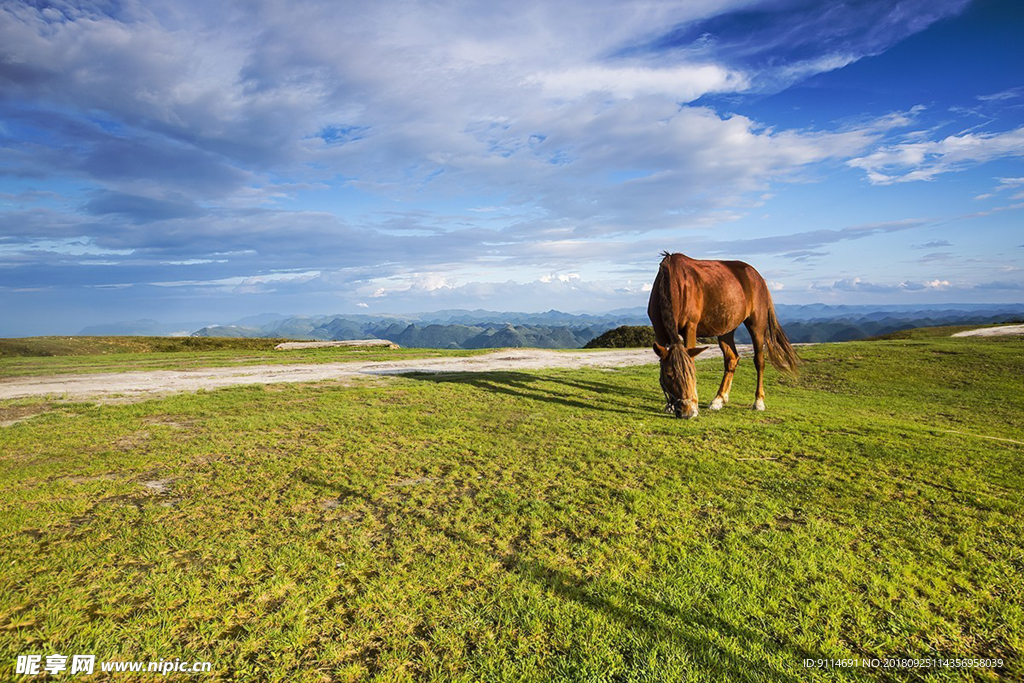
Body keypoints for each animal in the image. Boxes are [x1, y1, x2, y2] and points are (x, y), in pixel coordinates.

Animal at [647, 253, 798, 419]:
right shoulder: (659, 329)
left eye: (692, 373)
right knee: (731, 359)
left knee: (759, 361)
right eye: (668, 375)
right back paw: (719, 399)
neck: (675, 281)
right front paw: (669, 405)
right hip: (726, 329)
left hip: (757, 325)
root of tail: (757, 276)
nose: (687, 411)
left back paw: (758, 401)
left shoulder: (690, 327)